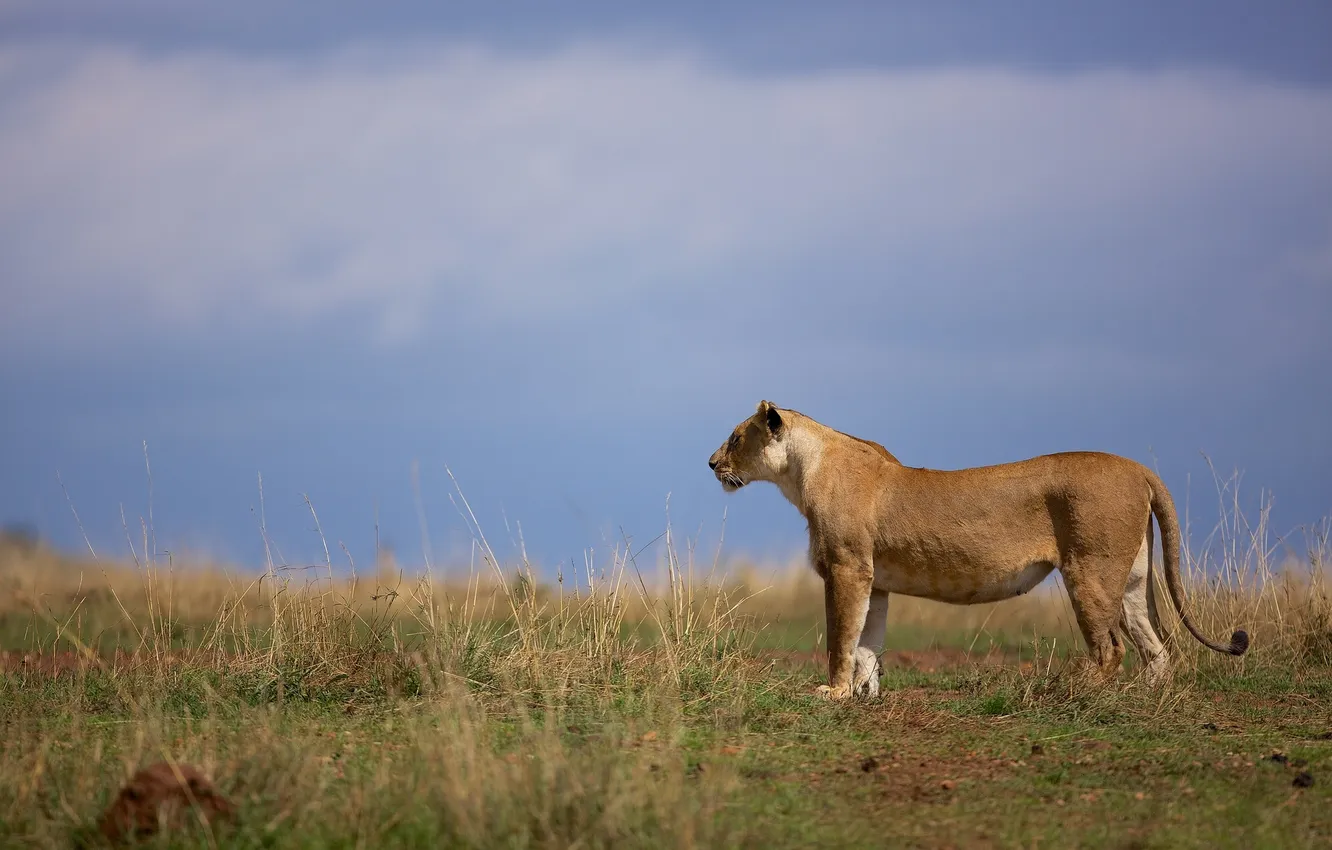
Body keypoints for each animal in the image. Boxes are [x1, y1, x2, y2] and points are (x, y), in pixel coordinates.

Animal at [708, 401, 1248, 699]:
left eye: (734, 437)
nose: (711, 463)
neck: (802, 471)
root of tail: (1139, 468)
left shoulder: (846, 568)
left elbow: (841, 639)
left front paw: (834, 692)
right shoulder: (873, 580)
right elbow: (868, 643)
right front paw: (865, 694)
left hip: (1089, 572)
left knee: (1111, 647)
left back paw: (1070, 691)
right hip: (1133, 579)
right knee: (1157, 649)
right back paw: (1145, 697)